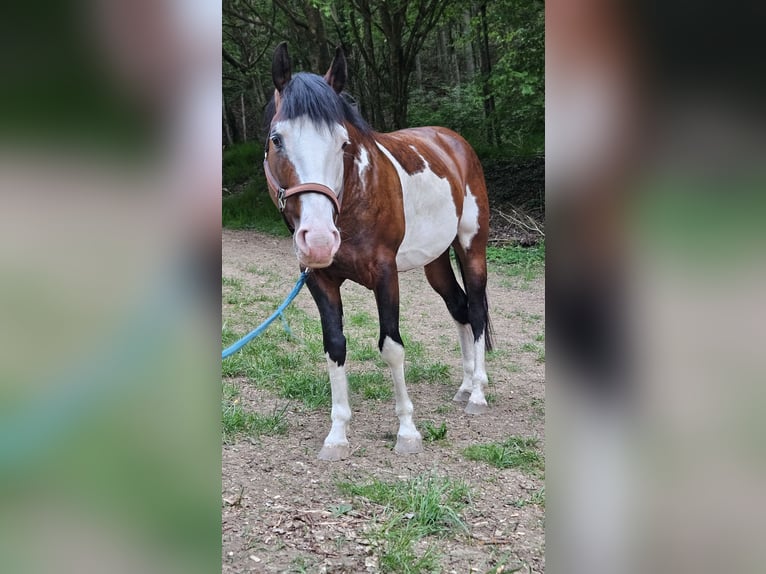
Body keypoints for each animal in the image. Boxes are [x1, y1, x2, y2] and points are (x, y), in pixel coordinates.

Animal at [263, 42, 493, 461]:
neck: (355, 197)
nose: (318, 239)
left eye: (342, 143)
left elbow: (392, 347)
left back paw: (478, 395)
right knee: (460, 308)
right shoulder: (319, 280)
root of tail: (452, 141)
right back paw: (466, 385)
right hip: (435, 261)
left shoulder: (385, 274)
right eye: (277, 139)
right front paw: (337, 435)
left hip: (471, 246)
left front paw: (408, 432)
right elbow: (335, 347)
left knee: (478, 310)